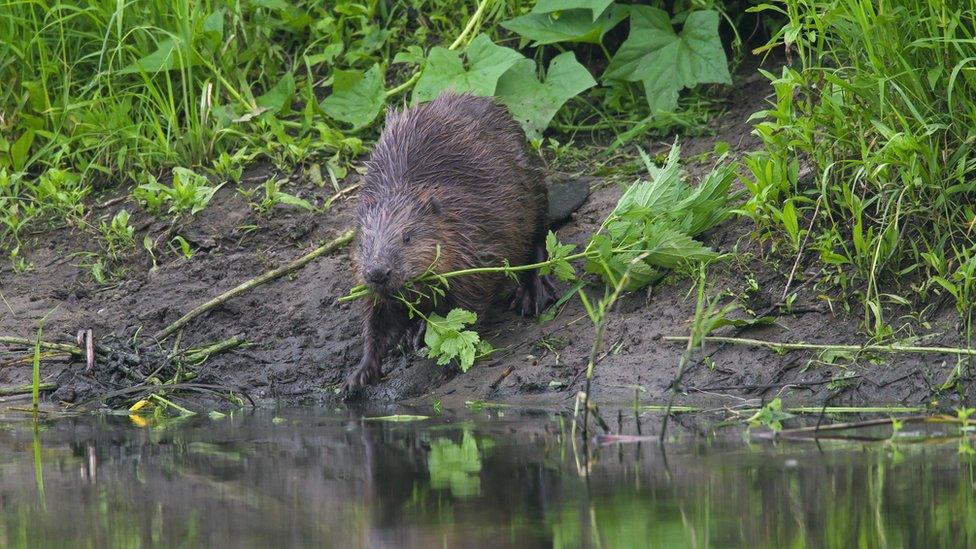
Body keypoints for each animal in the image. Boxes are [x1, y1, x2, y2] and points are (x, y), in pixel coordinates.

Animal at [346, 91, 552, 390]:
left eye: (407, 237)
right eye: (364, 243)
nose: (378, 272)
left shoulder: (477, 243)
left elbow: (469, 307)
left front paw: (449, 365)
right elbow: (376, 320)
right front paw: (358, 375)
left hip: (532, 185)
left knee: (538, 235)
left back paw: (532, 294)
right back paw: (414, 332)